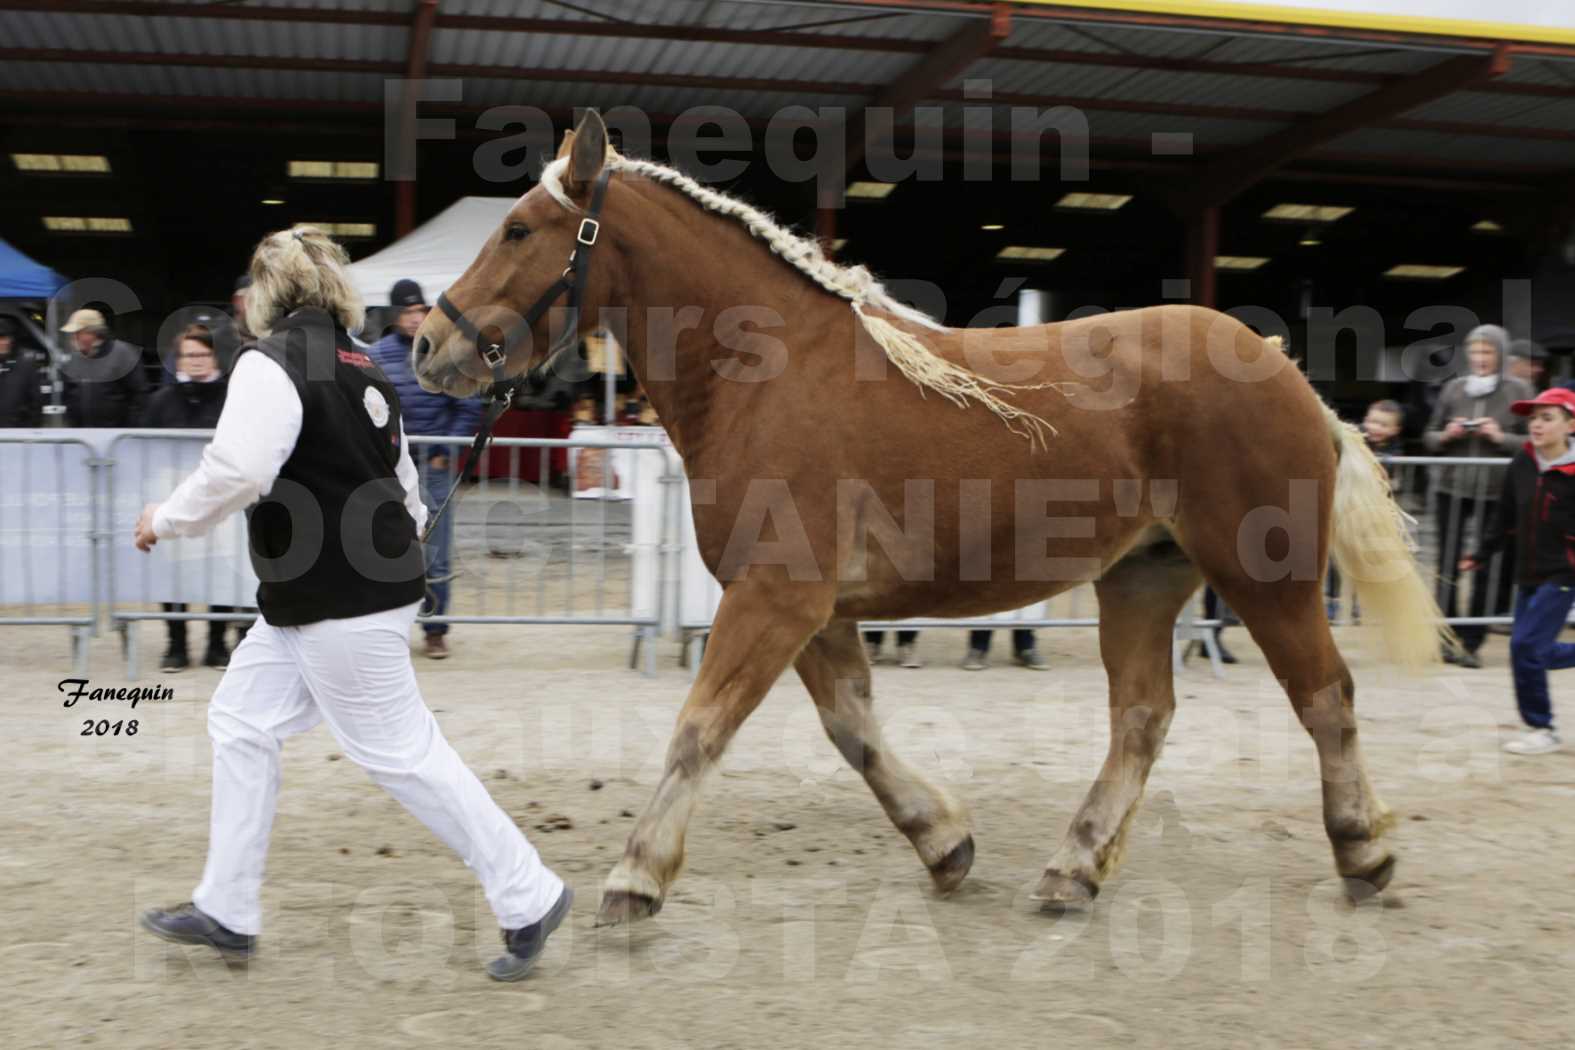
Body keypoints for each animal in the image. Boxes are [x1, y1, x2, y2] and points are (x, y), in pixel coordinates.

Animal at [412, 110, 1442, 925]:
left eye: (517, 229)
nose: (427, 345)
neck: (768, 373)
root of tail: (1297, 381)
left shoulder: (776, 598)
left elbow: (701, 727)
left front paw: (636, 875)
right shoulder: (811, 610)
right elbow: (853, 730)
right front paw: (945, 844)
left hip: (1264, 574)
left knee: (1324, 697)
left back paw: (1363, 851)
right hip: (1143, 577)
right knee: (1142, 718)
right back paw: (1073, 870)